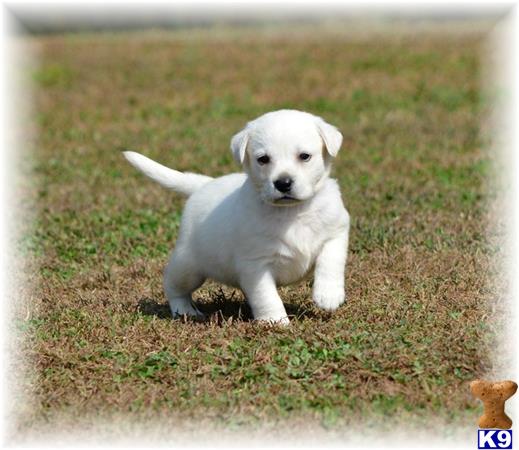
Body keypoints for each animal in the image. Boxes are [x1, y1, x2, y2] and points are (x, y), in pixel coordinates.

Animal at [124, 110, 350, 326]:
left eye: (304, 156)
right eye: (263, 159)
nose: (283, 183)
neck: (292, 212)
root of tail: (204, 184)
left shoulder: (337, 232)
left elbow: (330, 261)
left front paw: (328, 295)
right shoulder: (255, 264)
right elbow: (266, 295)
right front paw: (275, 321)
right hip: (188, 266)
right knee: (174, 286)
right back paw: (186, 310)